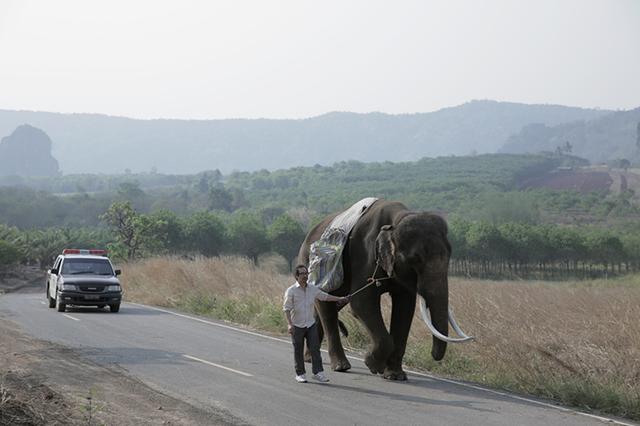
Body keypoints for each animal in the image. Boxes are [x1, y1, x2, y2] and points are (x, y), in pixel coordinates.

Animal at [298, 201, 472, 382]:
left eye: (449, 256)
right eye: (415, 259)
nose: (433, 355)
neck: (396, 220)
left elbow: (405, 308)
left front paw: (395, 376)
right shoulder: (364, 254)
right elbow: (362, 303)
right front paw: (373, 366)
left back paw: (310, 359)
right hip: (312, 267)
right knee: (327, 308)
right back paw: (341, 366)